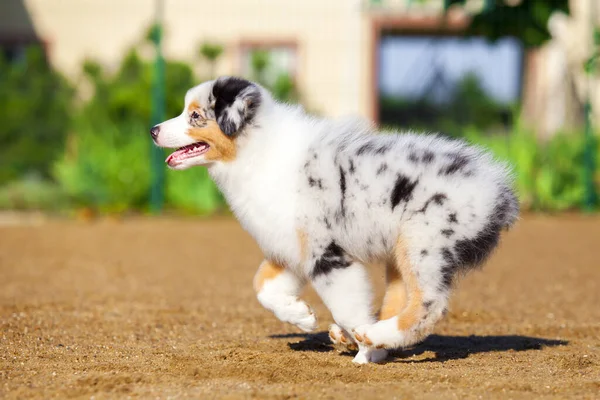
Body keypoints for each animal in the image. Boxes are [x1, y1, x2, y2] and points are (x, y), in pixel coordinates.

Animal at [151, 76, 520, 364]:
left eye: (195, 115)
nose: (153, 131)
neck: (258, 151)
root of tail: (499, 191)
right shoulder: (292, 247)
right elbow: (261, 286)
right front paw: (301, 316)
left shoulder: (326, 254)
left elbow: (346, 305)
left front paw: (365, 353)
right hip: (400, 252)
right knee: (399, 300)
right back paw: (367, 335)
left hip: (424, 245)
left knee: (429, 306)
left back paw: (372, 336)